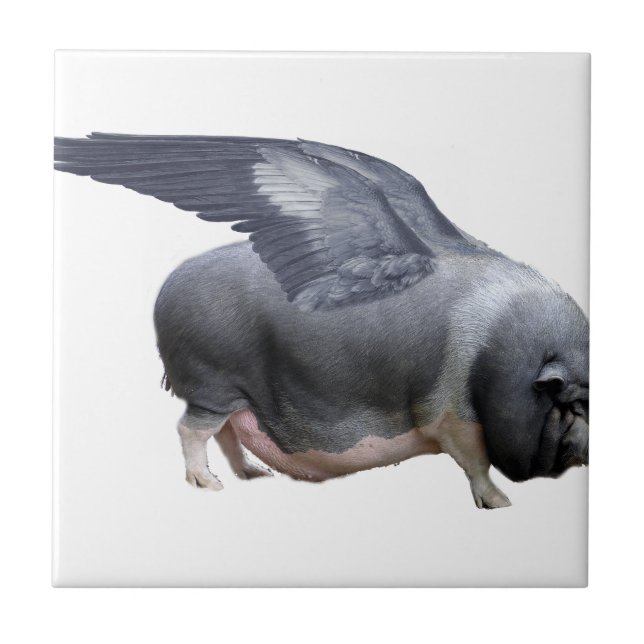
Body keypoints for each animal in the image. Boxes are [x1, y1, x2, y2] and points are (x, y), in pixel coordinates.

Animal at [54, 133, 589, 509]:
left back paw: (255, 477)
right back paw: (212, 486)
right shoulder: (451, 413)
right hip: (210, 381)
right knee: (192, 430)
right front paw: (502, 504)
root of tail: (164, 289)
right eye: (573, 405)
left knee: (227, 431)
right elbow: (475, 463)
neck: (497, 360)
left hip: (233, 392)